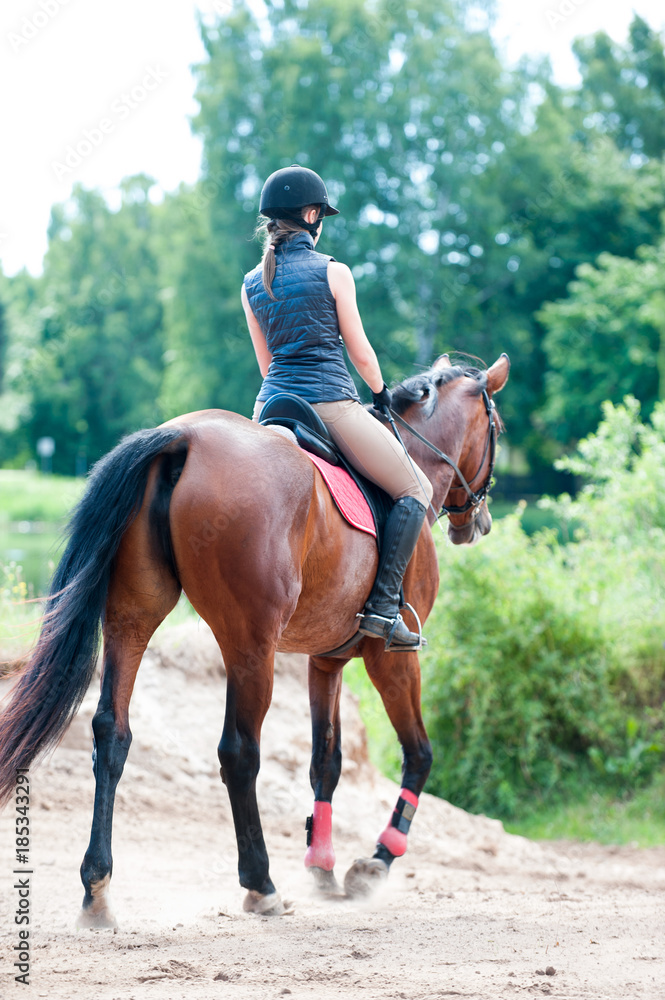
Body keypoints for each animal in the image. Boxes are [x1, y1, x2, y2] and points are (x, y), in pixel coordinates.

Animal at [0, 352, 509, 924]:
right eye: (497, 428)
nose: (478, 523)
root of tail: (182, 437)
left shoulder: (324, 660)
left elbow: (326, 761)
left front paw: (322, 865)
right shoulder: (392, 658)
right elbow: (419, 754)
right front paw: (375, 862)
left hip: (134, 616)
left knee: (112, 732)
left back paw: (98, 890)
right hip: (250, 644)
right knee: (239, 752)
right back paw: (261, 883)